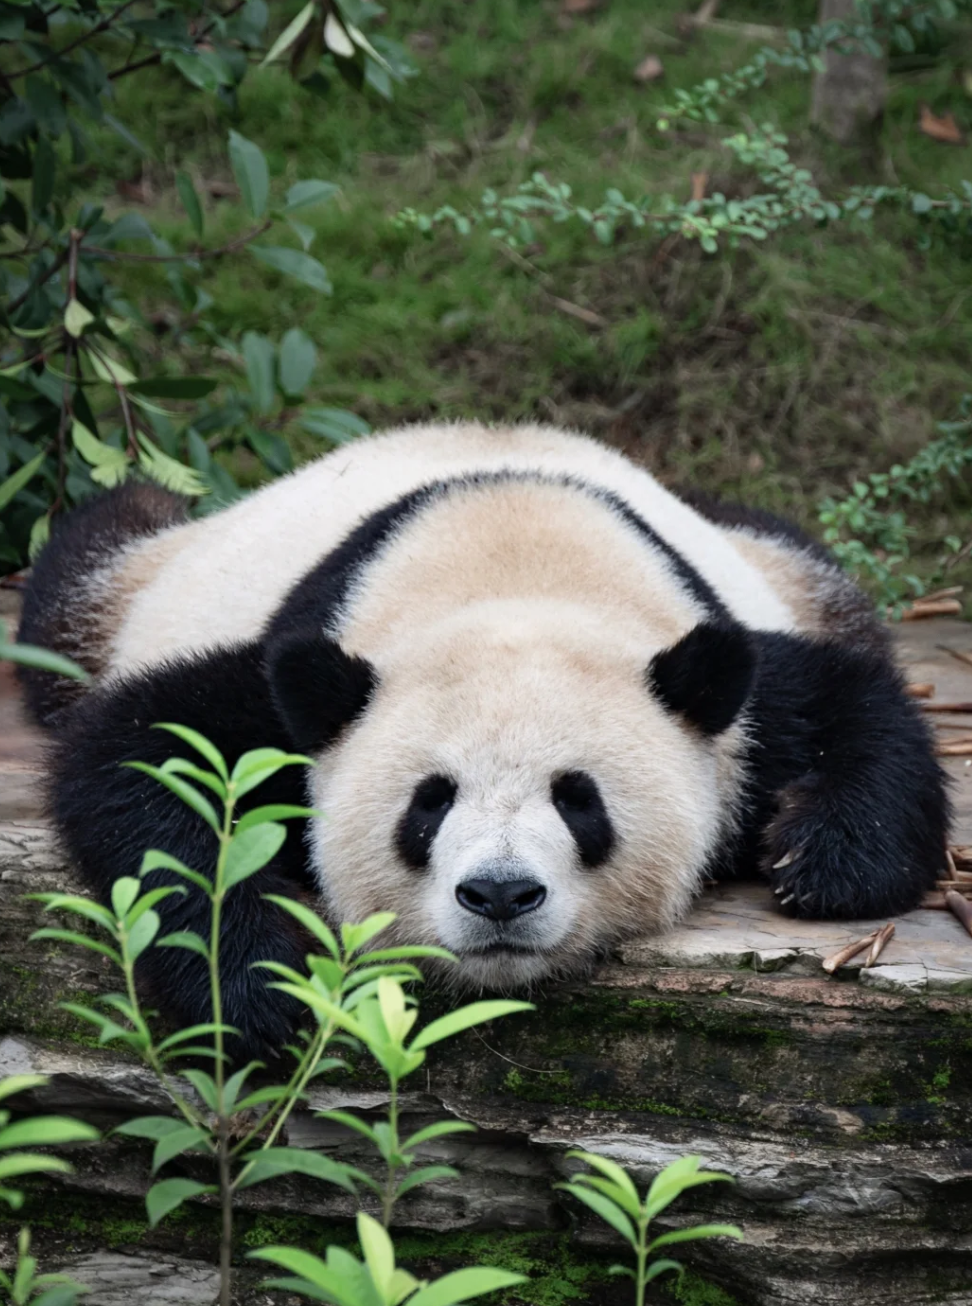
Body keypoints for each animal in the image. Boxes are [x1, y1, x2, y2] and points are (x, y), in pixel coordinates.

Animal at [17, 421, 948, 1057]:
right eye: (428, 804)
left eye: (579, 800)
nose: (500, 895)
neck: (510, 558)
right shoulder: (306, 678)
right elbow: (144, 755)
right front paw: (258, 987)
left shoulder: (724, 682)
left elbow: (854, 705)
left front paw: (818, 858)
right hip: (125, 592)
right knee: (84, 567)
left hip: (785, 568)